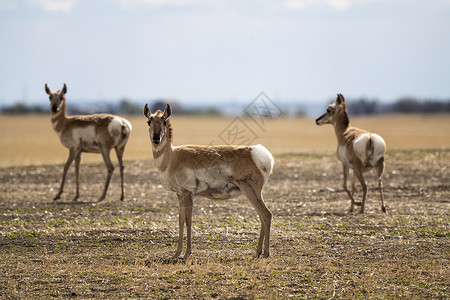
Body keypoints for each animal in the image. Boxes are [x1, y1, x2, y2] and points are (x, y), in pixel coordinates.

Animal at [144, 103, 272, 258]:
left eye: (164, 120)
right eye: (149, 121)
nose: (156, 138)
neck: (172, 157)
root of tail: (255, 151)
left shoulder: (188, 193)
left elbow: (188, 221)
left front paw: (187, 254)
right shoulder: (180, 194)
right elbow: (180, 221)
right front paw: (176, 253)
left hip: (250, 191)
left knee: (266, 215)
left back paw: (265, 253)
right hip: (253, 194)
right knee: (262, 216)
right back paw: (258, 252)